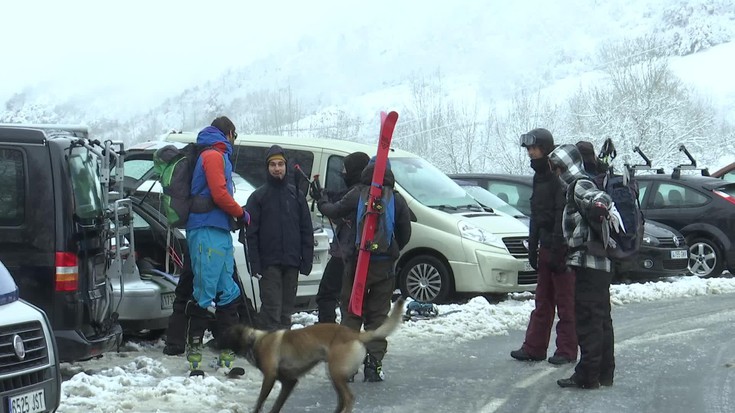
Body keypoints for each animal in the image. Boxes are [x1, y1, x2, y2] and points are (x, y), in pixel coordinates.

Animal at [226, 298, 408, 412]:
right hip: (334, 374)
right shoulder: (289, 381)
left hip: (335, 371)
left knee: (348, 398)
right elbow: (277, 404)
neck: (256, 339)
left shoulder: (270, 377)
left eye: (223, 335)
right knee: (342, 399)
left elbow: (261, 400)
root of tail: (354, 334)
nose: (216, 347)